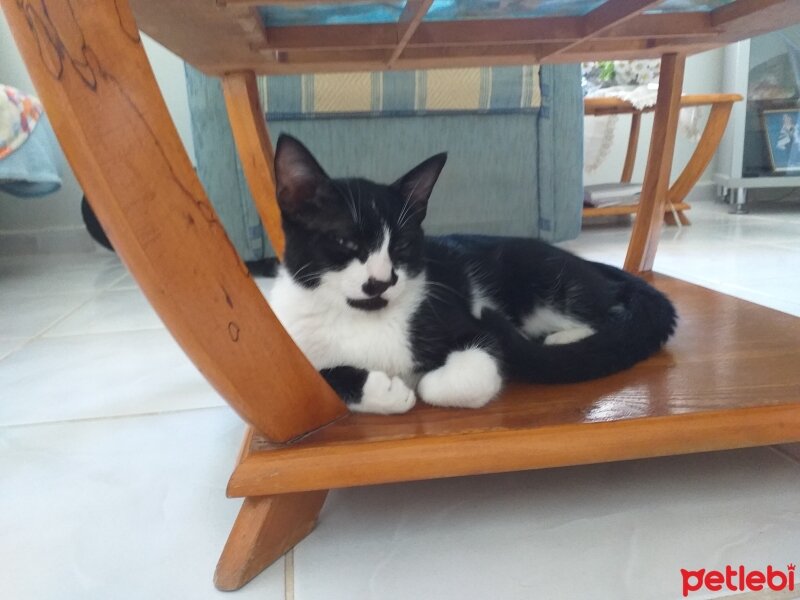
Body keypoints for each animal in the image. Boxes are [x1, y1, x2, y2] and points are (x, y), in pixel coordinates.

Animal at [268, 137, 676, 414]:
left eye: (401, 245)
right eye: (344, 241)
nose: (381, 282)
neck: (361, 320)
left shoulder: (460, 320)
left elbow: (460, 374)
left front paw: (414, 383)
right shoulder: (293, 350)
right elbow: (315, 384)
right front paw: (386, 392)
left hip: (548, 280)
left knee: (608, 312)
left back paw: (564, 338)